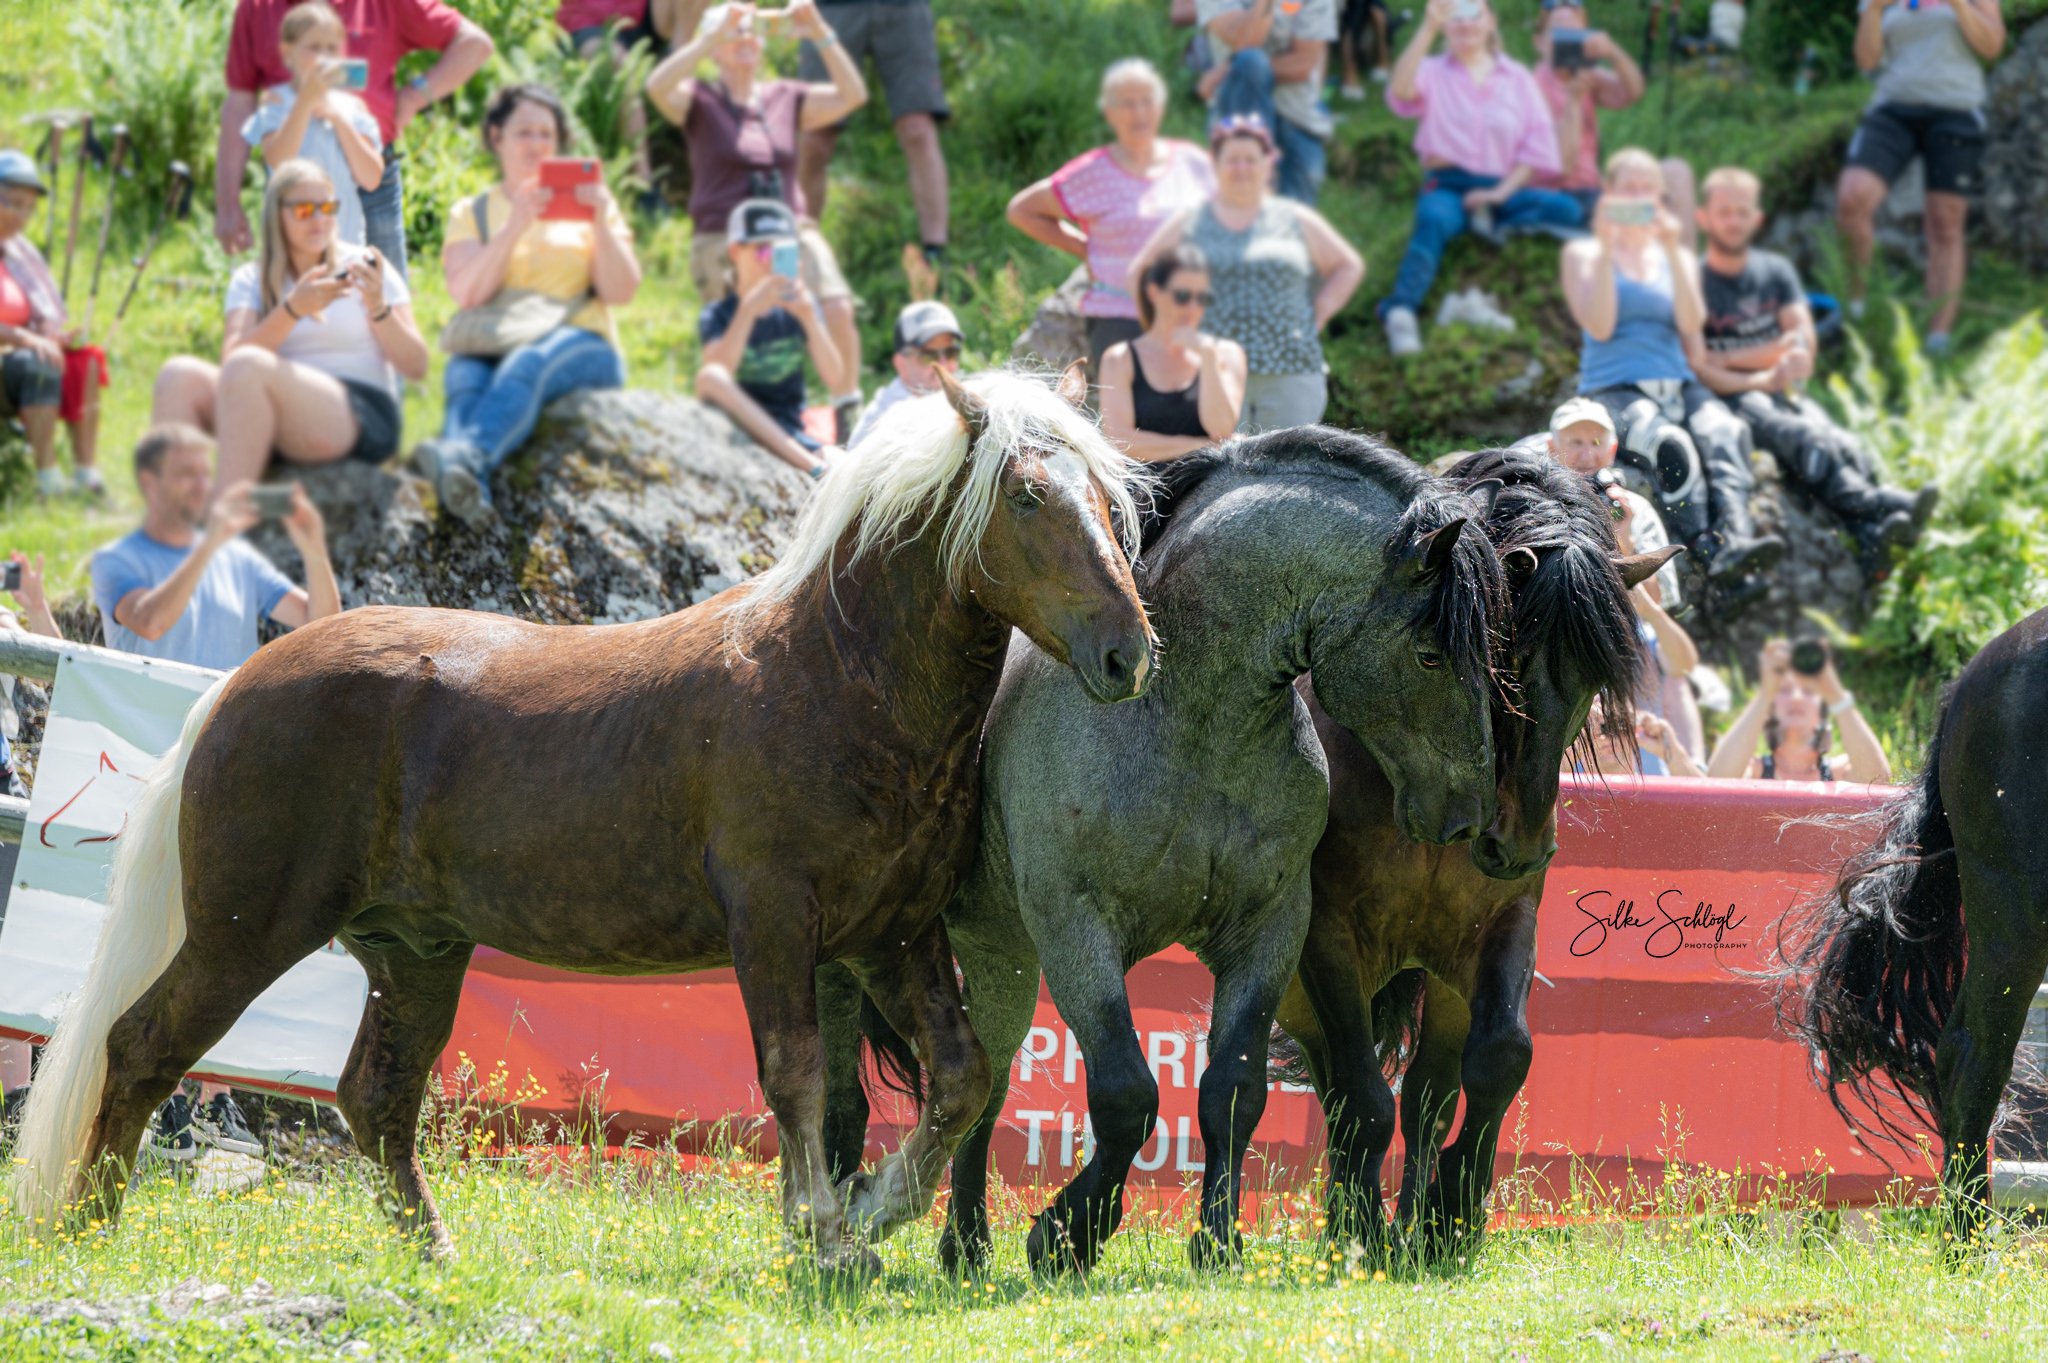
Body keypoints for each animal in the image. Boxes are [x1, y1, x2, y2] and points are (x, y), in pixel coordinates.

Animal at [16, 364, 1163, 1277]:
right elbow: (792, 1072)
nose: (1127, 652)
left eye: (1110, 498)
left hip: (413, 952)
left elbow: (961, 1077)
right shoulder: (774, 923)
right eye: (1026, 495)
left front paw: (875, 1215)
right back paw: (87, 1225)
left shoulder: (891, 934)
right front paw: (825, 1234)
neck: (833, 681)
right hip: (247, 932)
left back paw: (438, 1254)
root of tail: (232, 688)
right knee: (142, 1043)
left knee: (375, 1098)